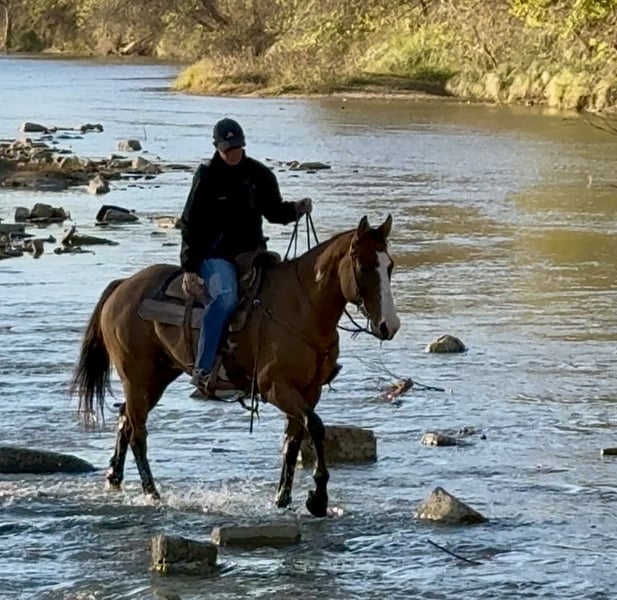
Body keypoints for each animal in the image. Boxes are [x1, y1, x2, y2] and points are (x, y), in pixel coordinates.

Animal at [71, 215, 400, 517]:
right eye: (363, 267)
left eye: (390, 266)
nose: (390, 326)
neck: (302, 306)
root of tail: (122, 287)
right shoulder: (275, 386)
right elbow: (315, 427)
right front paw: (317, 498)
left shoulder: (309, 390)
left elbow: (293, 440)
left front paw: (283, 499)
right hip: (137, 376)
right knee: (138, 431)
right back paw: (152, 493)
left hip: (158, 376)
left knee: (126, 420)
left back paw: (114, 478)